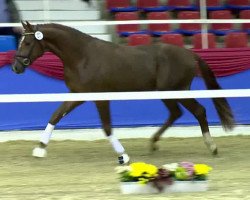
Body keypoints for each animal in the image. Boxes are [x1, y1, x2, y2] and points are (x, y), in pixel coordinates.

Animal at [11, 21, 234, 164]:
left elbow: (107, 127)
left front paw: (123, 156)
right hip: (166, 93)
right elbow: (55, 116)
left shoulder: (100, 98)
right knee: (176, 113)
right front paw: (39, 149)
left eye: (28, 43)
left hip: (176, 91)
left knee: (199, 111)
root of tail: (190, 53)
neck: (82, 56)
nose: (16, 67)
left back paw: (212, 147)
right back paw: (153, 143)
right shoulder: (77, 94)